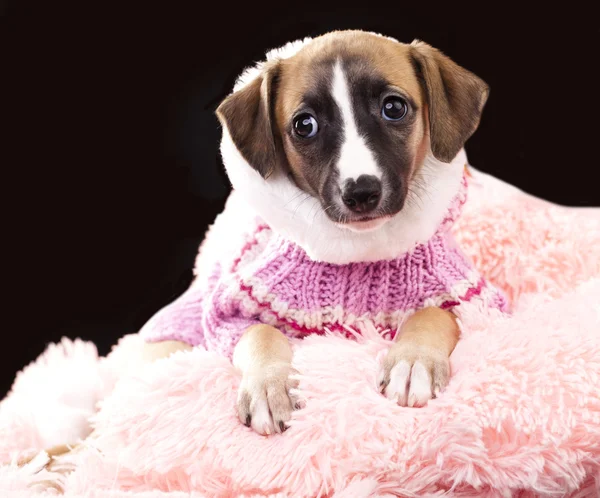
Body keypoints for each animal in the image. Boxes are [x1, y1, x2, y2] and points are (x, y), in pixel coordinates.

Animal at [21, 31, 506, 470]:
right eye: (304, 125)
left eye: (394, 107)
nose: (361, 192)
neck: (357, 254)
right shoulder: (230, 310)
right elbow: (260, 334)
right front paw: (269, 388)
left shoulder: (476, 298)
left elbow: (436, 312)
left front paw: (413, 361)